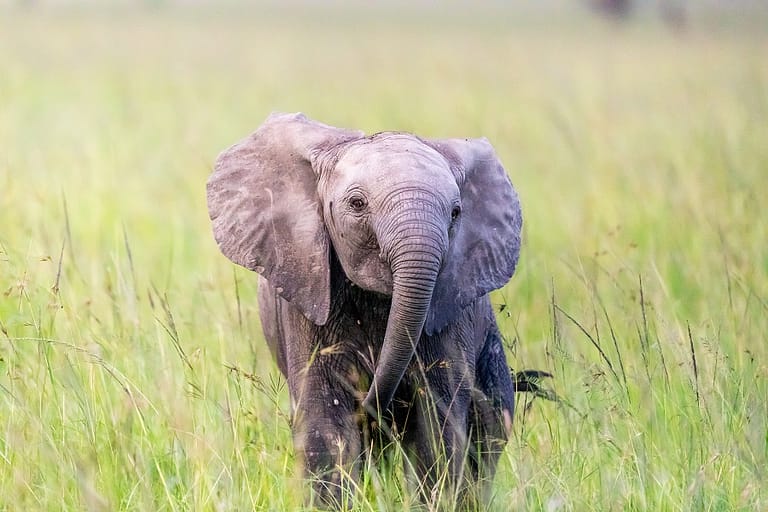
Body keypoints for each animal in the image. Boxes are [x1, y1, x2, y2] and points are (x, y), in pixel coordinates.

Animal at [207, 112, 524, 508]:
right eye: (357, 204)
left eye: (455, 213)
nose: (372, 407)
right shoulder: (308, 291)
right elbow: (325, 420)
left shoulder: (449, 312)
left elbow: (438, 419)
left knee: (490, 429)